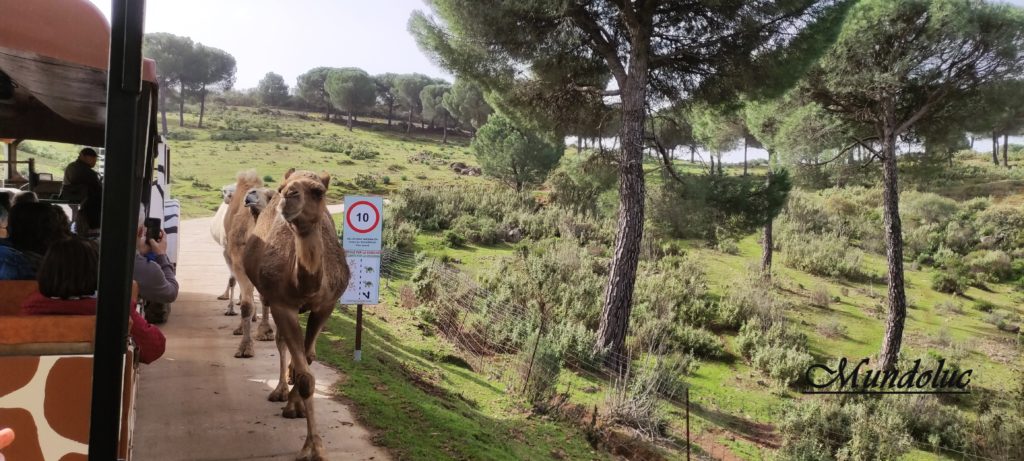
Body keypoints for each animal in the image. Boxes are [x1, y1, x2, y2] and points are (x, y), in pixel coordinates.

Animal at [224, 170, 278, 356]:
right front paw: (245, 347)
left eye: (270, 195)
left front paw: (266, 331)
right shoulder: (239, 266)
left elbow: (266, 298)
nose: (250, 194)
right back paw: (241, 327)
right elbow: (246, 305)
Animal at [242, 169, 348, 461]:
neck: (304, 284)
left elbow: (308, 359)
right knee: (281, 343)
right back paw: (279, 390)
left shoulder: (326, 305)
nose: (288, 196)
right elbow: (304, 376)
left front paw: (296, 406)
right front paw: (313, 446)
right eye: (282, 188)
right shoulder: (282, 305)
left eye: (318, 191)